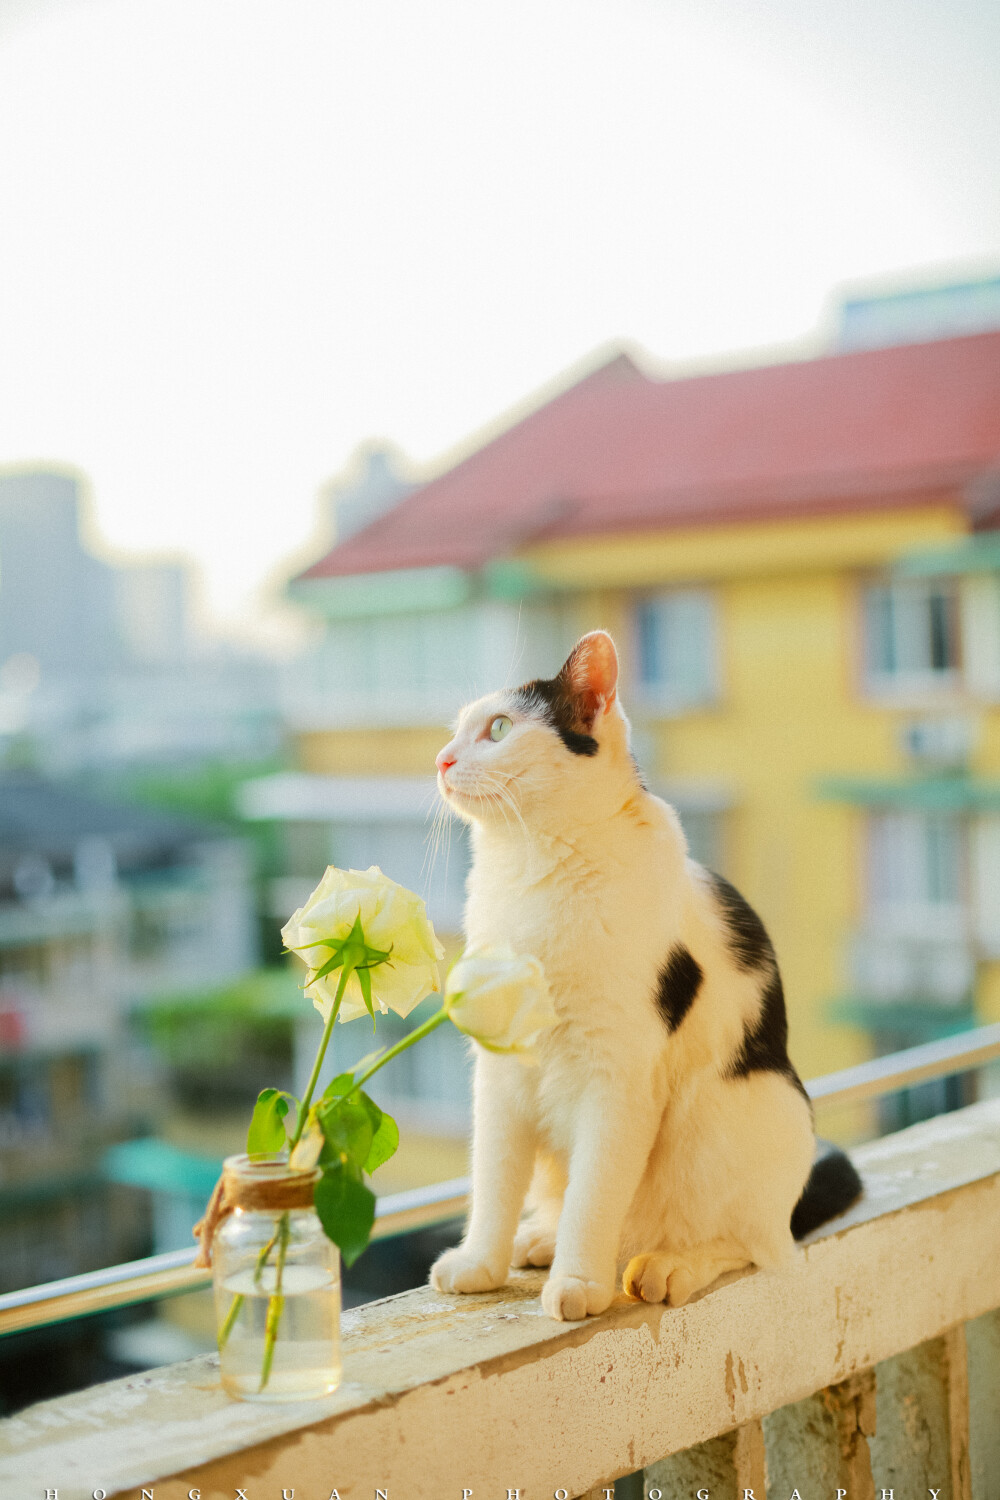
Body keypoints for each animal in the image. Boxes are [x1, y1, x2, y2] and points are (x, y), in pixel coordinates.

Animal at [428, 627, 863, 1320]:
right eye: (458, 731)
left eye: (498, 729)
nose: (441, 761)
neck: (532, 867)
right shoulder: (500, 1071)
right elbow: (493, 1179)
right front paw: (480, 1264)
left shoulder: (618, 1077)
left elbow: (595, 1194)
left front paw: (579, 1285)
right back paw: (541, 1239)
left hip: (724, 1113)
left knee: (756, 1245)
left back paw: (666, 1266)